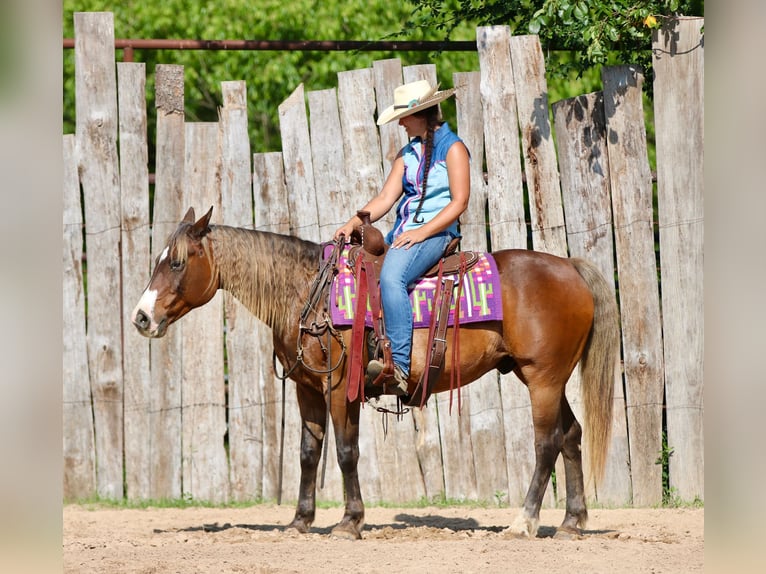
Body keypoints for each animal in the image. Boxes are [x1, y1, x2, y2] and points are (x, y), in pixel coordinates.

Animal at [131, 206, 619, 540]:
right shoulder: (307, 390)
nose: (141, 317)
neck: (309, 292)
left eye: (177, 262)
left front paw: (350, 521)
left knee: (547, 443)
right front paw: (300, 520)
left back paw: (524, 521)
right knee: (572, 435)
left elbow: (346, 451)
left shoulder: (337, 388)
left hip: (543, 380)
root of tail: (571, 267)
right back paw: (572, 522)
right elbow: (309, 453)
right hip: (546, 379)